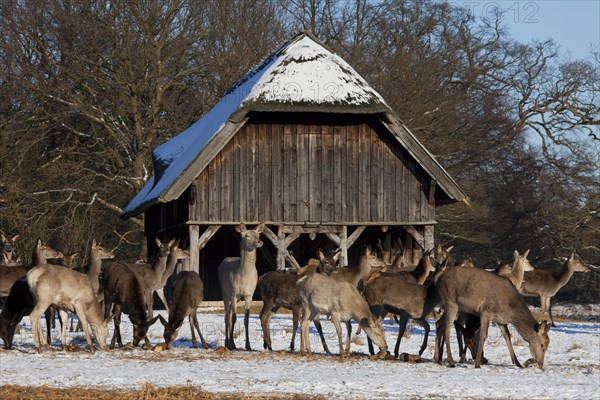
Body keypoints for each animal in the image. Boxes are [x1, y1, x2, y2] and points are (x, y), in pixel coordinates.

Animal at [218, 223, 264, 352]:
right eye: (247, 235)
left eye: (258, 234)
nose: (260, 242)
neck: (244, 278)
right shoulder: (234, 293)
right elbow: (234, 318)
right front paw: (232, 344)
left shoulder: (249, 295)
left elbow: (246, 319)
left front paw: (248, 346)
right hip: (225, 292)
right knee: (226, 315)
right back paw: (227, 343)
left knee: (228, 315)